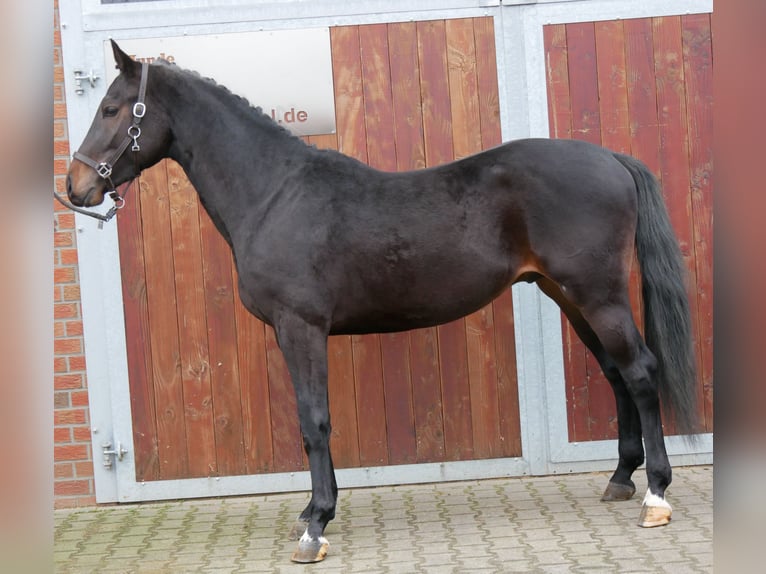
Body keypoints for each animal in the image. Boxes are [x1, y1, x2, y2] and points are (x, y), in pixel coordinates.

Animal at [66, 42, 700, 564]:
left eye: (112, 109)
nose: (77, 187)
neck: (276, 194)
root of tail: (611, 159)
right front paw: (312, 511)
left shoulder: (301, 327)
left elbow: (314, 421)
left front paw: (316, 526)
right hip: (571, 296)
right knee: (617, 374)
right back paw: (620, 479)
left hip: (598, 295)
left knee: (641, 372)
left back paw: (656, 496)